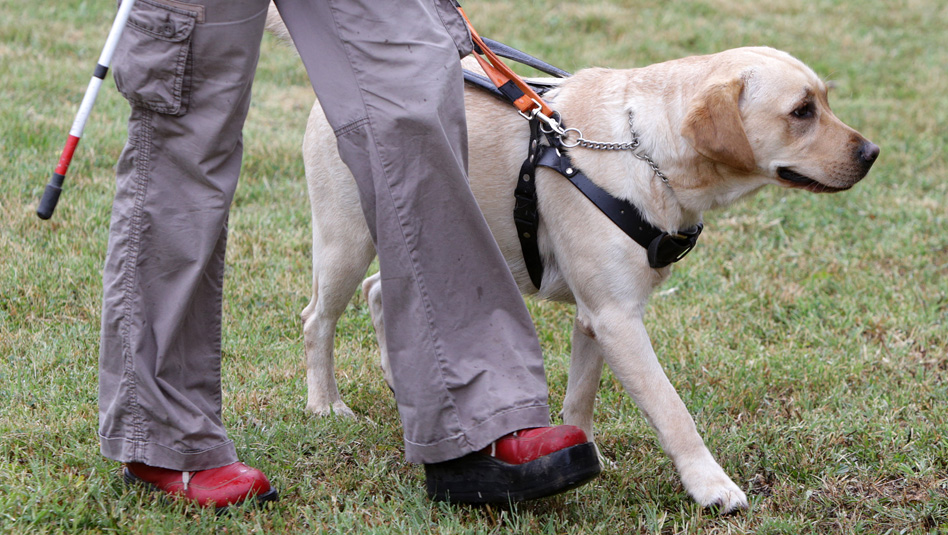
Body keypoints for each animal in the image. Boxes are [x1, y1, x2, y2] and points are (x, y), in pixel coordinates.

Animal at [296, 45, 880, 510]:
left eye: (824, 101)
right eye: (800, 112)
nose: (872, 153)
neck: (642, 151)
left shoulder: (595, 318)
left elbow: (580, 400)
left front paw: (584, 452)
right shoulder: (617, 319)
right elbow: (673, 411)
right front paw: (710, 485)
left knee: (378, 292)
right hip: (347, 241)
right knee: (316, 319)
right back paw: (326, 404)